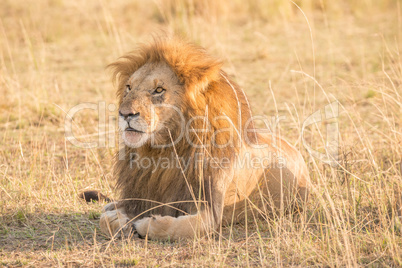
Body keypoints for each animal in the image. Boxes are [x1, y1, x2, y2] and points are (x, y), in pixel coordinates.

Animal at [99, 36, 310, 240]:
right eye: (128, 87)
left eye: (159, 90)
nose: (124, 114)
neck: (164, 150)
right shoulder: (138, 195)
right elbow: (105, 216)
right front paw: (118, 219)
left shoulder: (210, 210)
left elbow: (184, 227)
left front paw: (145, 223)